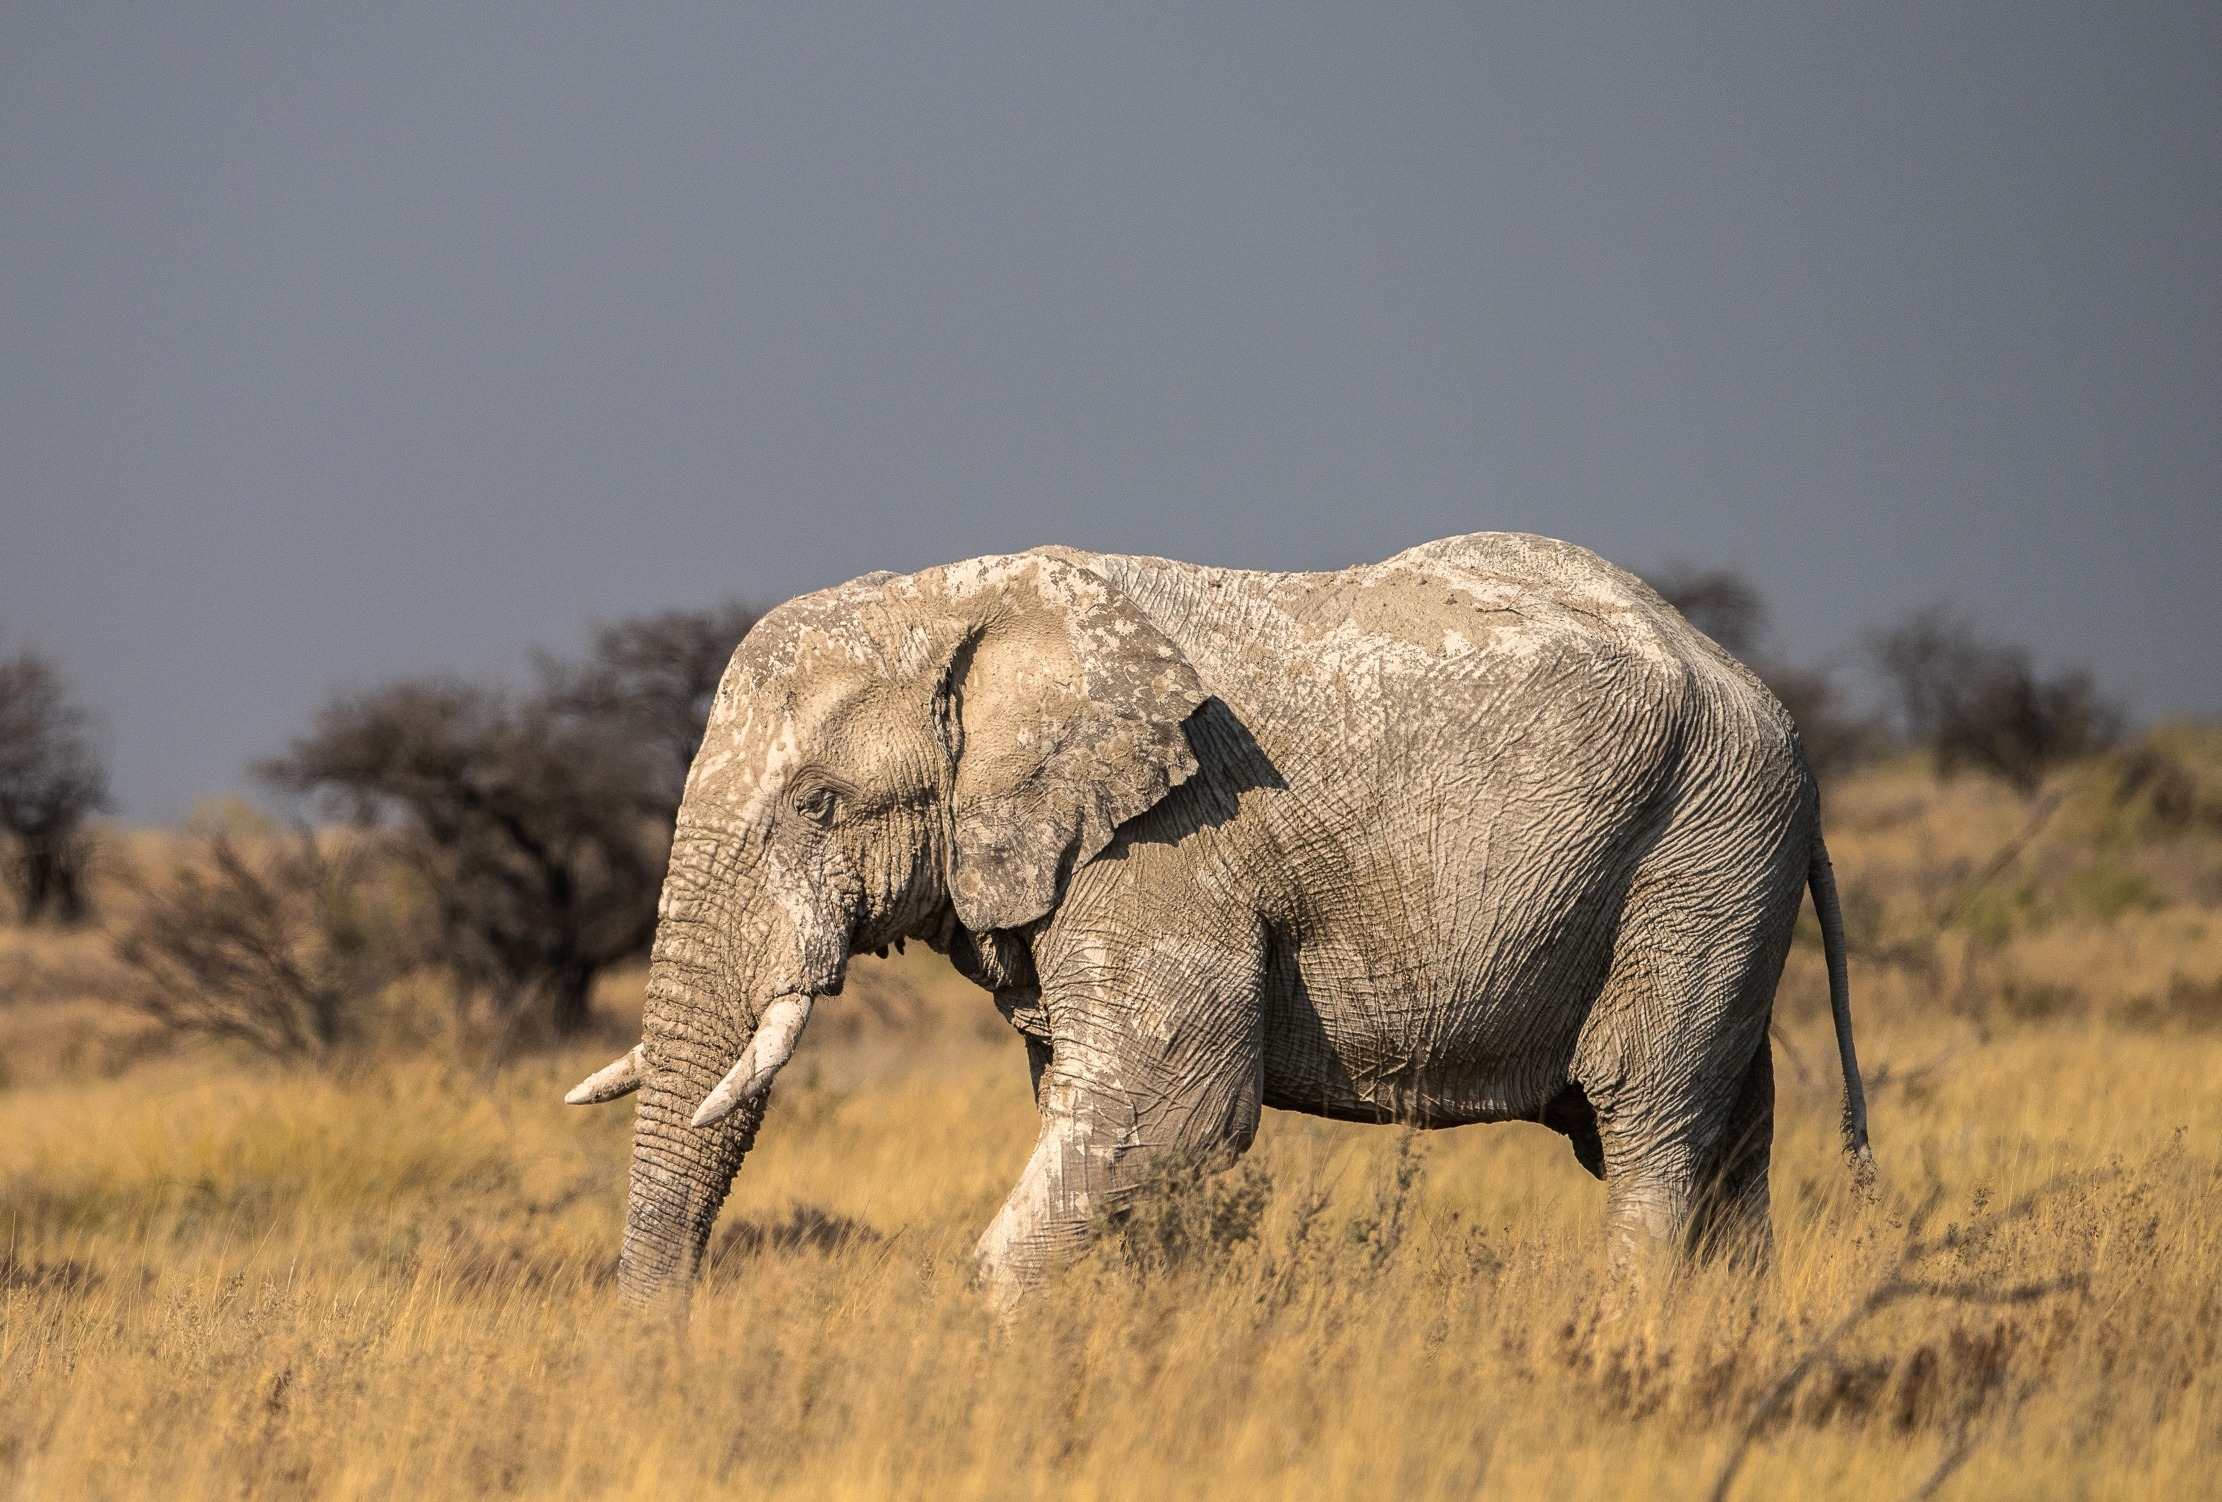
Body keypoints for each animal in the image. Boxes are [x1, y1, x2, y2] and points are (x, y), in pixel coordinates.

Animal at [566, 532, 1872, 1309]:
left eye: (819, 804)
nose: (668, 1352)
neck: (967, 600)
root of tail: (1766, 701)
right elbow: (1107, 1118)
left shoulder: (1167, 841)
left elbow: (1169, 1107)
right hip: (1716, 859)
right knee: (1726, 1132)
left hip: (1704, 848)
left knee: (1644, 1115)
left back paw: (1625, 1341)